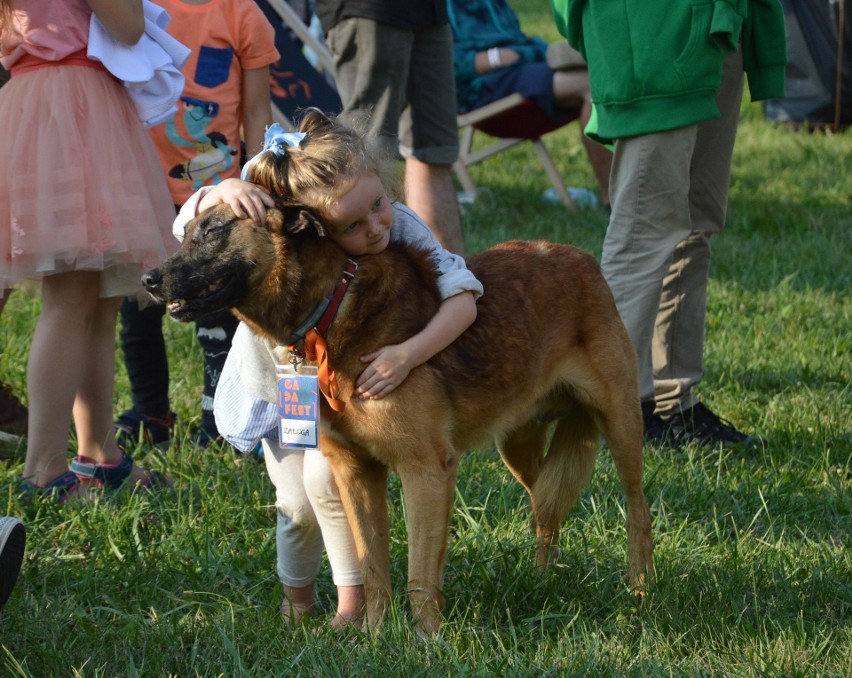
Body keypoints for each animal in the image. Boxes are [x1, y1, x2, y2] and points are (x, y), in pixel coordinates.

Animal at [143, 206, 656, 636]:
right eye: (185, 231)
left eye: (213, 230)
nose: (149, 278)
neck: (331, 309)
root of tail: (581, 259)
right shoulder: (356, 473)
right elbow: (373, 568)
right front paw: (372, 636)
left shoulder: (425, 471)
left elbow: (419, 573)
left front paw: (428, 641)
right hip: (518, 445)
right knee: (545, 507)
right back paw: (542, 577)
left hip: (622, 425)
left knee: (637, 509)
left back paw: (640, 588)